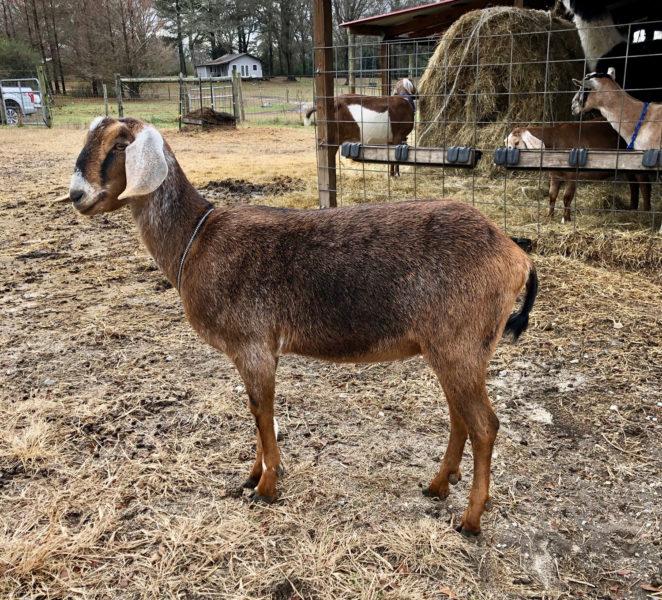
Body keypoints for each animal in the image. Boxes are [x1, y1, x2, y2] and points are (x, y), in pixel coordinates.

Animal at [68, 116, 538, 536]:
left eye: (119, 146)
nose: (77, 194)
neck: (196, 240)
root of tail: (516, 254)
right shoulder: (258, 351)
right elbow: (257, 412)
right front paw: (252, 475)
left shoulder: (253, 345)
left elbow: (262, 412)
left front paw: (266, 486)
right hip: (451, 349)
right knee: (460, 417)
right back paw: (438, 486)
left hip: (461, 343)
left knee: (484, 425)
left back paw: (471, 521)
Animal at [506, 118, 652, 221]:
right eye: (506, 143)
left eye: (517, 142)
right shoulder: (555, 174)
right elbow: (552, 195)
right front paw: (549, 217)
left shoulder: (572, 174)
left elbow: (566, 197)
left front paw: (565, 219)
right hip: (626, 163)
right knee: (633, 184)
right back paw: (632, 209)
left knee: (644, 184)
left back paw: (646, 213)